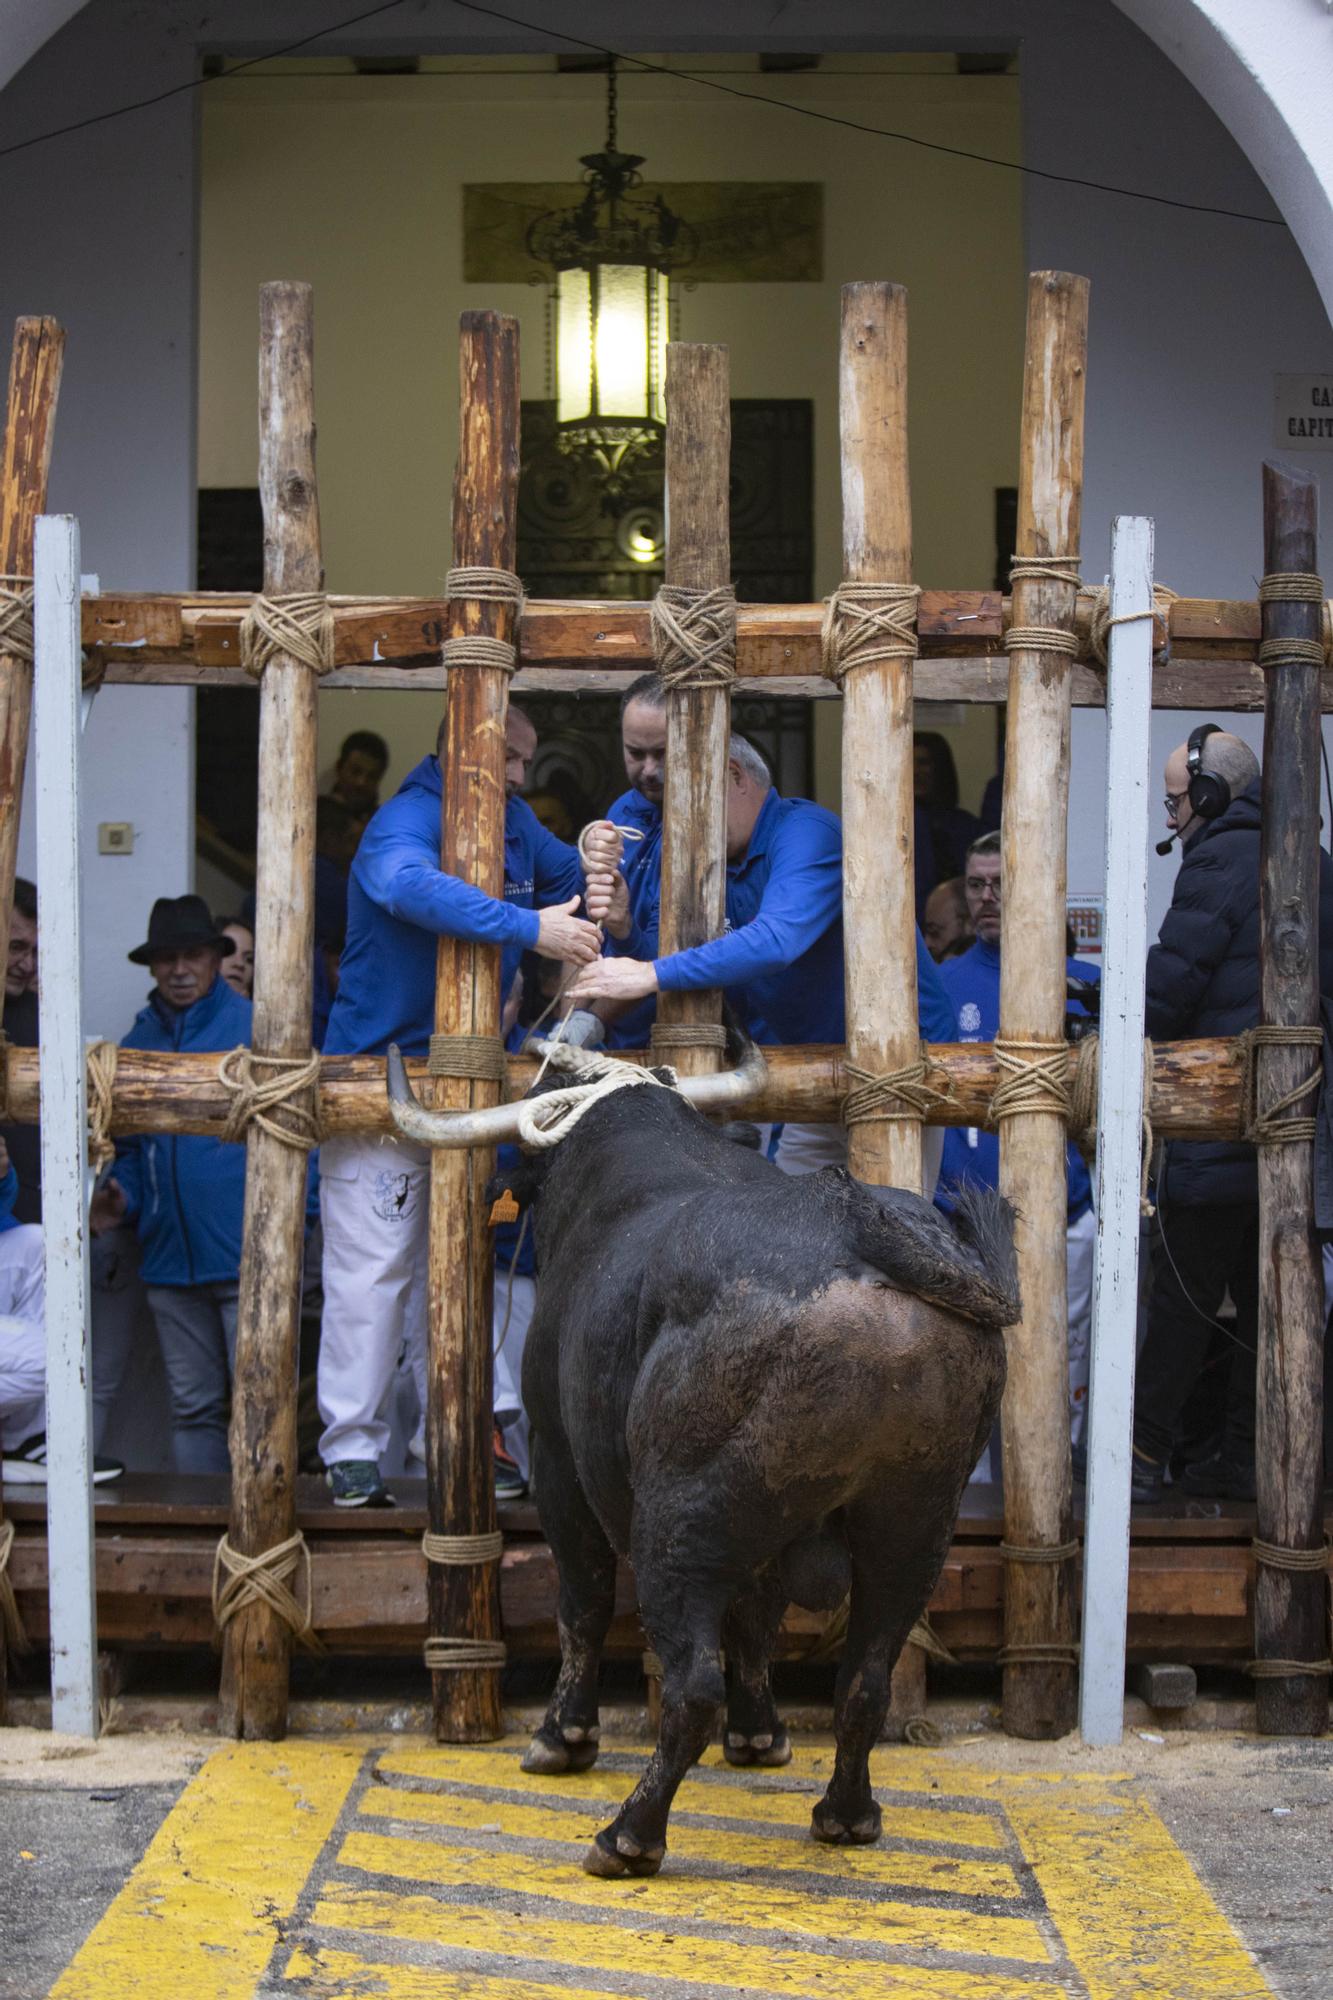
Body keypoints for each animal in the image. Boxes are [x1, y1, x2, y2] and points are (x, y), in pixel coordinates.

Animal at [480, 1080, 1016, 1872]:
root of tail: (856, 1224)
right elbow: (757, 1623)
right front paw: (759, 1735)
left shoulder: (556, 1461)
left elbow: (583, 1603)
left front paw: (562, 1737)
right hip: (914, 1524)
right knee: (865, 1680)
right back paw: (846, 1814)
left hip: (676, 1524)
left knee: (691, 1684)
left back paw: (628, 1834)